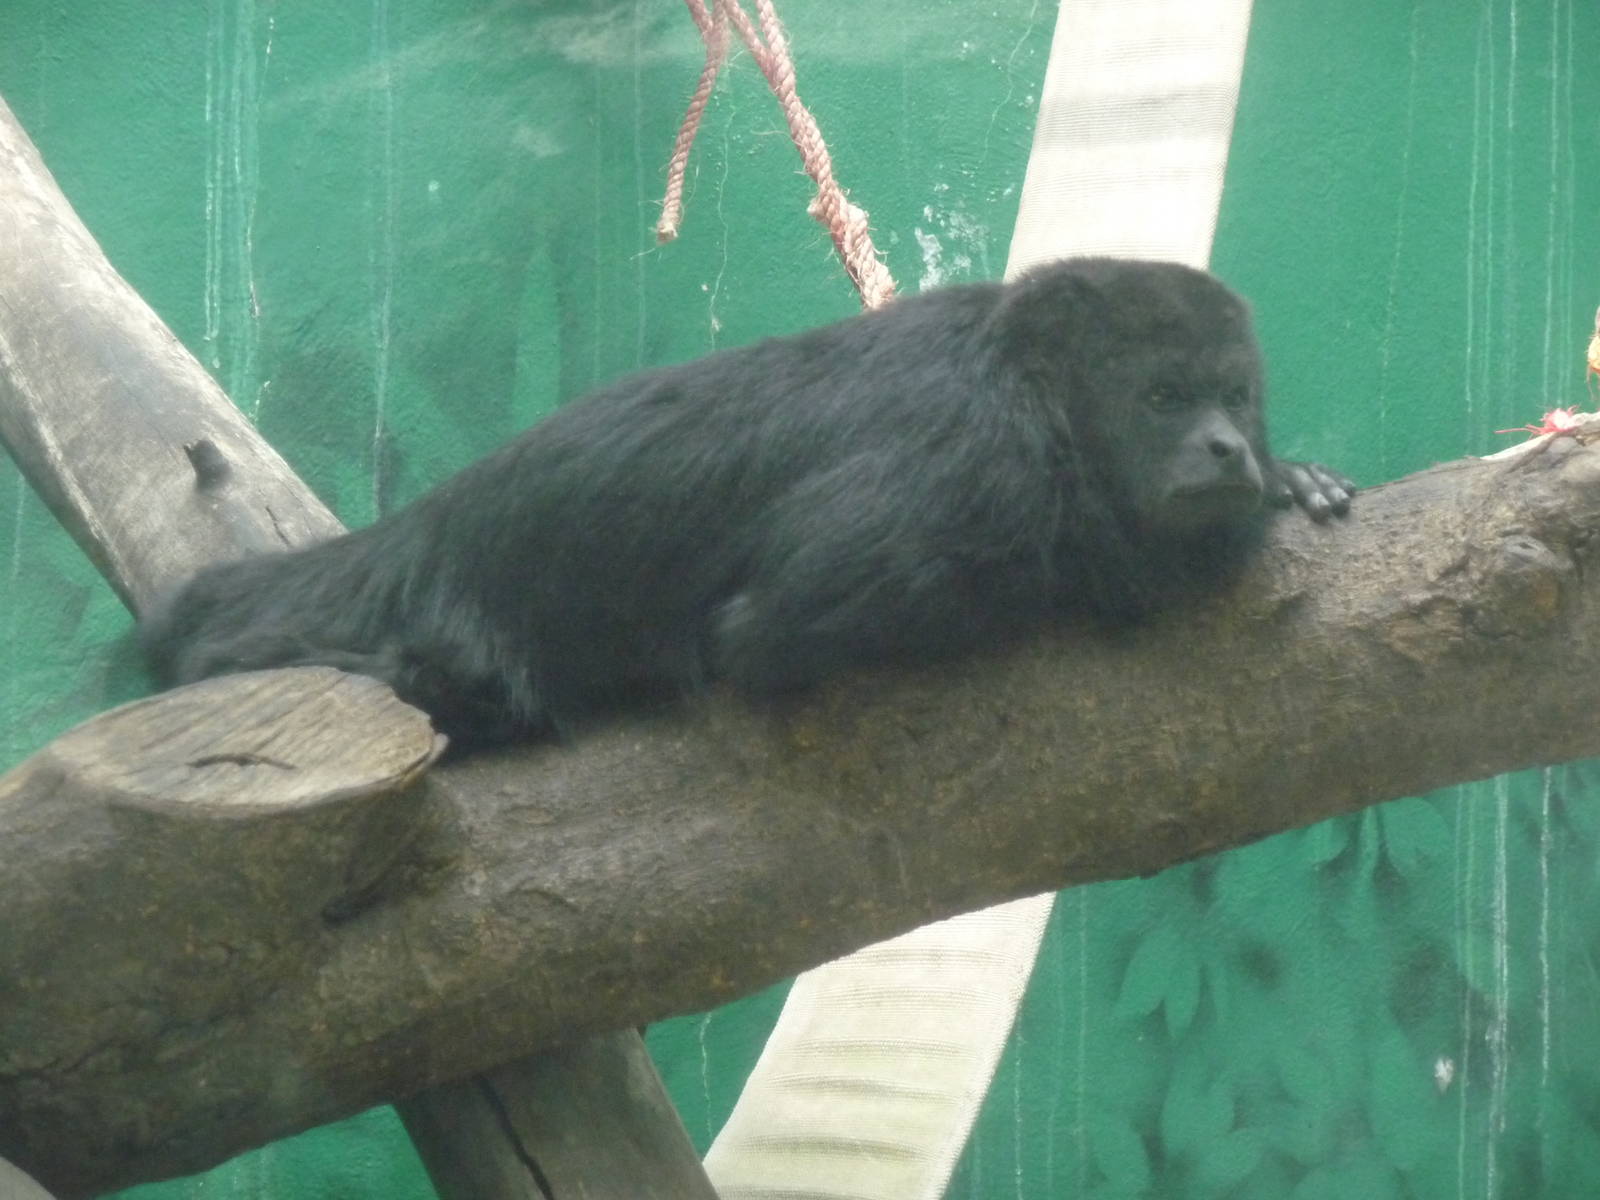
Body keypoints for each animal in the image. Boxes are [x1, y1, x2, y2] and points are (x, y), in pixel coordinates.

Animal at [141, 257, 1352, 747]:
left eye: (1235, 398)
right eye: (1163, 398)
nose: (1226, 448)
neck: (1032, 391)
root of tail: (434, 525)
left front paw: (1292, 480)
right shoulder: (966, 471)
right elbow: (761, 634)